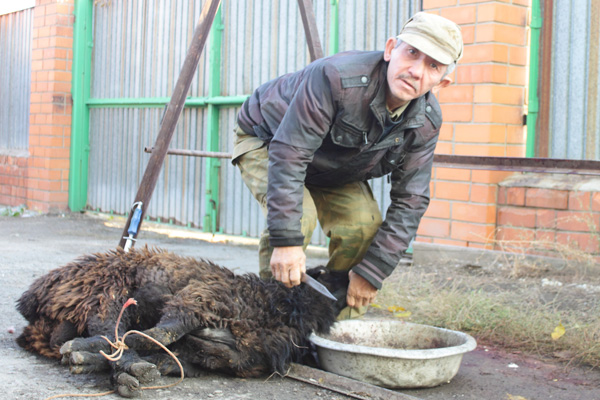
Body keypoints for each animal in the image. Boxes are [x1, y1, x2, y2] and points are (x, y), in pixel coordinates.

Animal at [15, 247, 346, 396]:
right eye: (325, 273)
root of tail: (31, 297)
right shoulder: (199, 297)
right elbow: (163, 333)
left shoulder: (233, 357)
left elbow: (176, 356)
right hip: (107, 291)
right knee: (109, 330)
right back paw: (117, 365)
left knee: (88, 339)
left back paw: (91, 359)